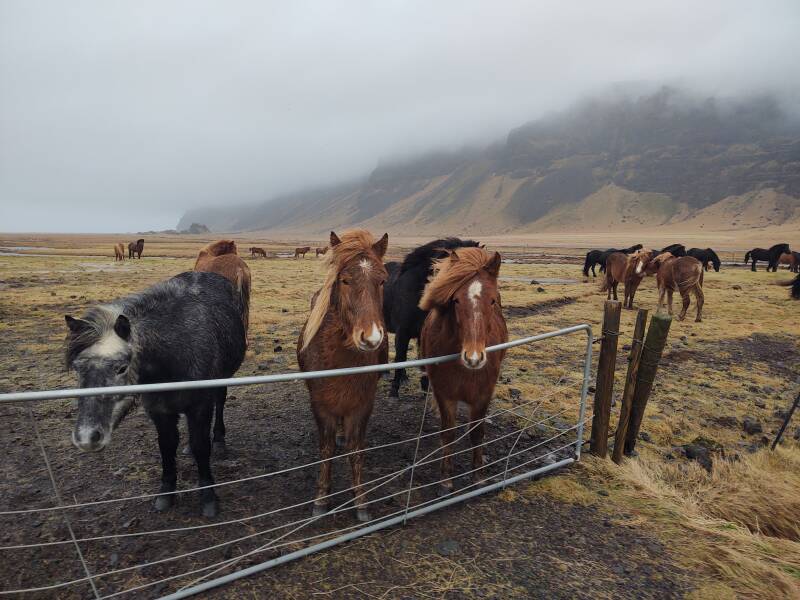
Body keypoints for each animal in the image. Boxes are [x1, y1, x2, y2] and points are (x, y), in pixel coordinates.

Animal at [65, 270, 244, 516]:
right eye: (77, 367)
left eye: (121, 368)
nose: (86, 437)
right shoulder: (159, 410)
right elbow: (166, 446)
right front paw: (166, 493)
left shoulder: (200, 407)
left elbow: (202, 447)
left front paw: (208, 496)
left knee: (221, 401)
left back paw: (218, 439)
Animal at [296, 229, 390, 520]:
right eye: (345, 280)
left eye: (382, 280)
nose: (371, 338)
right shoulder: (320, 405)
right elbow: (326, 449)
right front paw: (321, 500)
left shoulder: (362, 405)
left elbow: (356, 449)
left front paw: (361, 502)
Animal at [418, 246, 506, 494]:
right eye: (455, 300)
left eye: (493, 300)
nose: (473, 357)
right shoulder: (444, 394)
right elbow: (448, 432)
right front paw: (446, 479)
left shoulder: (484, 394)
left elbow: (477, 432)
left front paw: (478, 476)